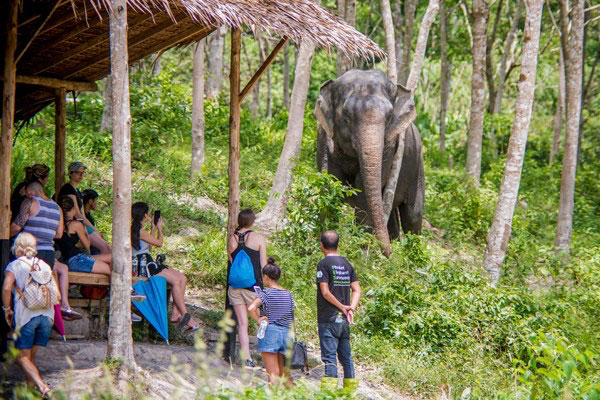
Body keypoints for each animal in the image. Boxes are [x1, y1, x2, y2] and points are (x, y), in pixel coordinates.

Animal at [312, 69, 424, 256]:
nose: (388, 254)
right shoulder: (324, 136)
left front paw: (359, 249)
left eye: (389, 116)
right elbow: (330, 180)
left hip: (418, 166)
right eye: (347, 116)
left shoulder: (389, 146)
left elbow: (362, 186)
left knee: (413, 214)